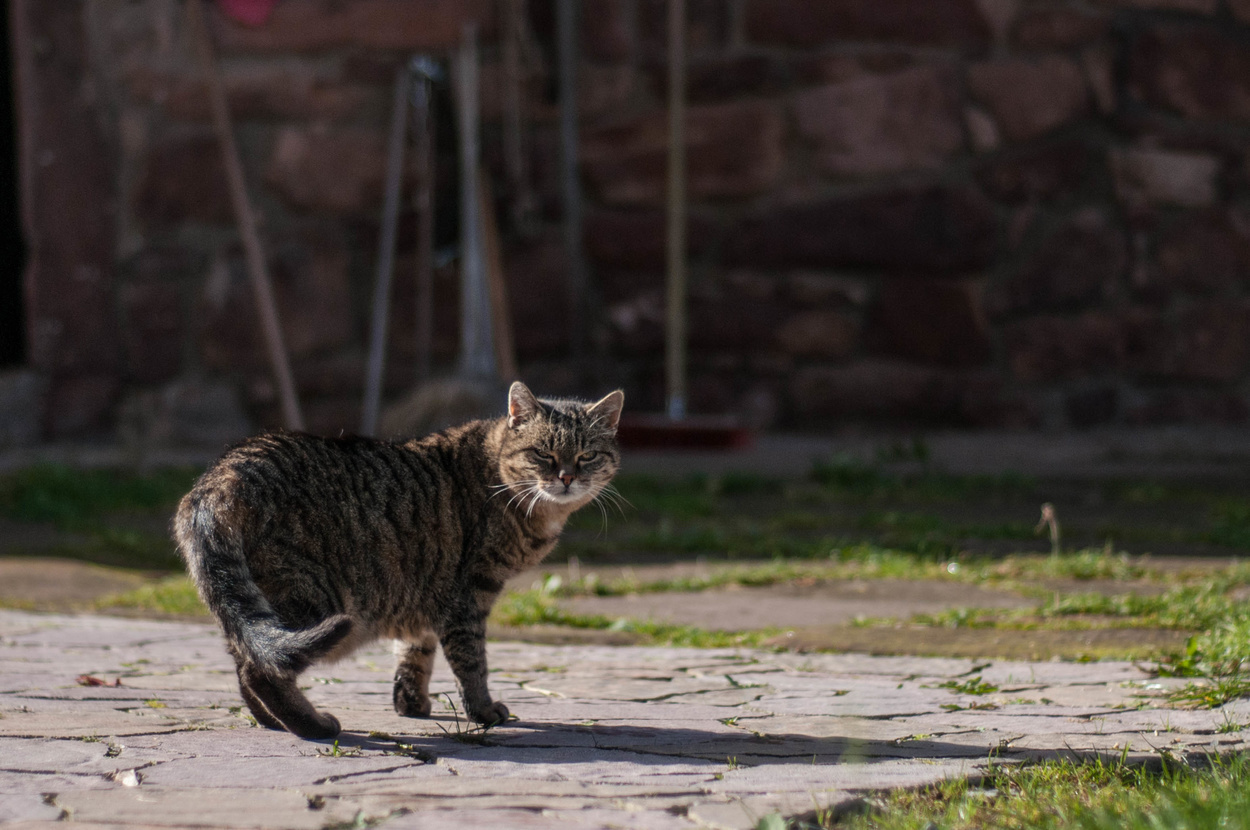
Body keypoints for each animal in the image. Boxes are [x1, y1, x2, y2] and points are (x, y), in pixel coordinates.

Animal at [173, 382, 623, 739]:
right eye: (543, 454)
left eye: (587, 456)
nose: (567, 477)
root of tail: (223, 473)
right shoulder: (469, 594)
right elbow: (471, 661)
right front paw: (483, 711)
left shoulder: (426, 587)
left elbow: (415, 652)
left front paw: (410, 702)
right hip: (311, 595)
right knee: (260, 669)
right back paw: (313, 726)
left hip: (254, 603)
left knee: (251, 657)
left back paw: (273, 722)